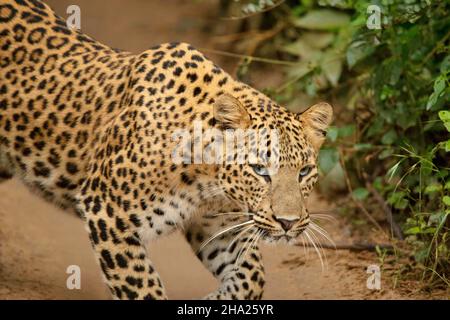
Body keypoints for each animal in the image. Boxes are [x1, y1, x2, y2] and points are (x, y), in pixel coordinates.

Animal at [0, 0, 332, 300]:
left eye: (304, 171)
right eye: (259, 170)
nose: (288, 223)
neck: (206, 181)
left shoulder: (213, 224)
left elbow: (252, 276)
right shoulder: (106, 209)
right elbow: (141, 286)